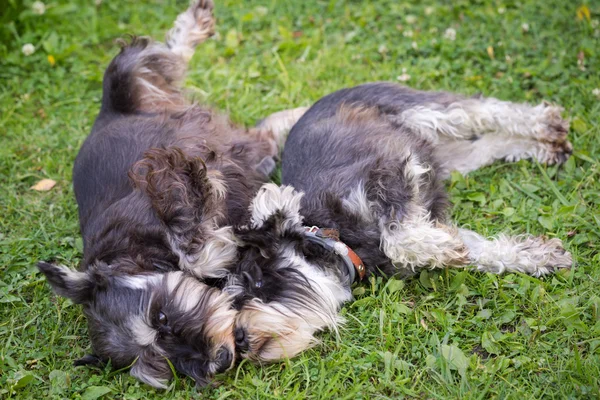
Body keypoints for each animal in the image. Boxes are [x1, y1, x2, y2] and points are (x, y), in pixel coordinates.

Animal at [37, 0, 302, 388]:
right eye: (166, 366)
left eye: (160, 318)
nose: (220, 361)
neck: (132, 254)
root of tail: (106, 115)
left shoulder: (160, 191)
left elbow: (192, 243)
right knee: (264, 133)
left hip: (125, 75)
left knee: (158, 51)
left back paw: (196, 21)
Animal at [227, 83, 576, 362]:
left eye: (258, 283)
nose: (239, 340)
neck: (340, 240)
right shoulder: (422, 208)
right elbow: (485, 250)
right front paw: (541, 256)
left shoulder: (389, 171)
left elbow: (398, 239)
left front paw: (446, 249)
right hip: (454, 157)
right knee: (489, 144)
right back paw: (544, 148)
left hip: (424, 111)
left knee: (484, 111)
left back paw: (546, 123)